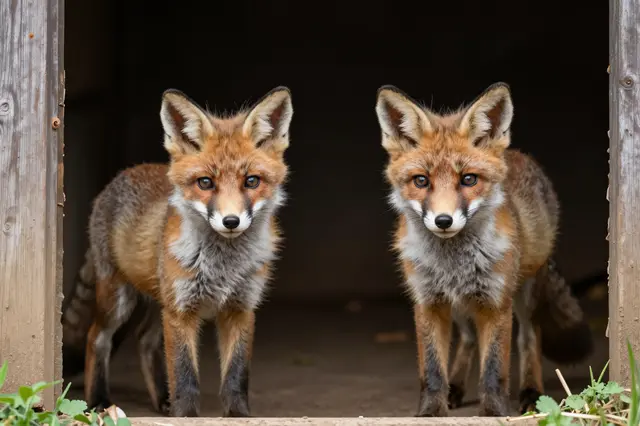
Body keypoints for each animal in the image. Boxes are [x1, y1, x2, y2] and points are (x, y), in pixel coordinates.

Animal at [82, 86, 294, 417]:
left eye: (252, 181)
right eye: (205, 182)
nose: (230, 221)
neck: (223, 267)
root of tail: (126, 172)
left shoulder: (241, 308)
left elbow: (236, 376)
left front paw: (238, 416)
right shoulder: (181, 311)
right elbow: (184, 376)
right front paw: (185, 415)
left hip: (159, 302)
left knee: (144, 341)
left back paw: (161, 399)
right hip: (119, 299)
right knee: (97, 338)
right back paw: (98, 400)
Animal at [375, 82, 569, 417]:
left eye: (468, 179)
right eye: (421, 181)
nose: (443, 220)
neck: (453, 263)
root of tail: (518, 155)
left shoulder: (495, 302)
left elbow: (493, 369)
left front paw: (493, 413)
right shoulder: (428, 301)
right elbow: (432, 371)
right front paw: (430, 411)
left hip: (526, 292)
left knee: (530, 337)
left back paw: (531, 392)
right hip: (460, 305)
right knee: (466, 340)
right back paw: (456, 386)